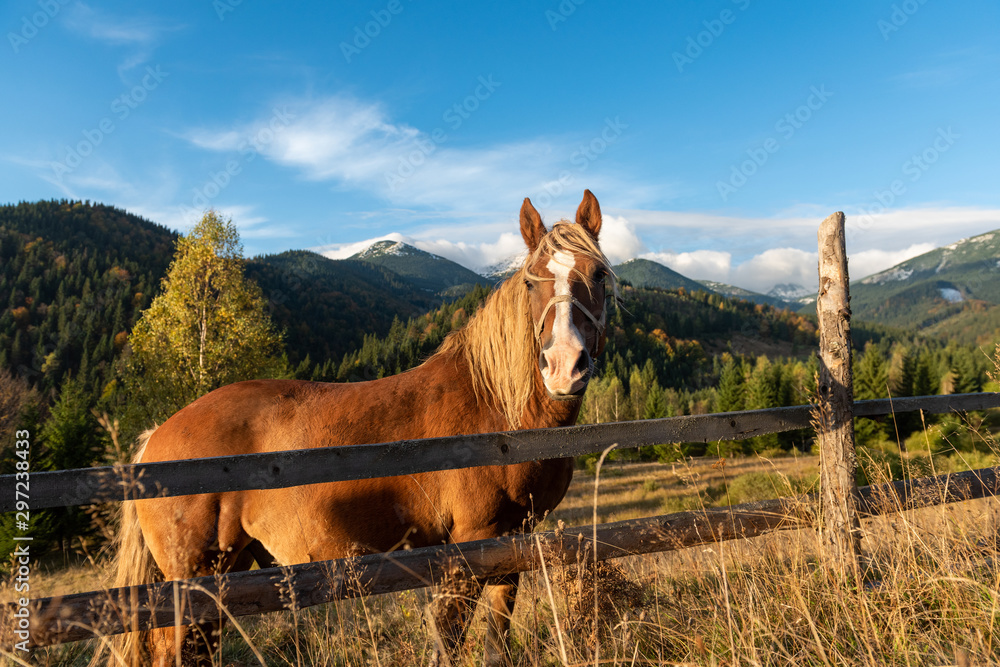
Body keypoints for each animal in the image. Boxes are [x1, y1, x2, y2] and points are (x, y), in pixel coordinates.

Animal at [103, 189, 616, 667]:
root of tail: (155, 440)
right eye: (531, 281)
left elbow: (496, 643)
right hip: (192, 583)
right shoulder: (467, 549)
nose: (564, 367)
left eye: (598, 276)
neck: (496, 413)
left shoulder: (511, 549)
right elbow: (448, 640)